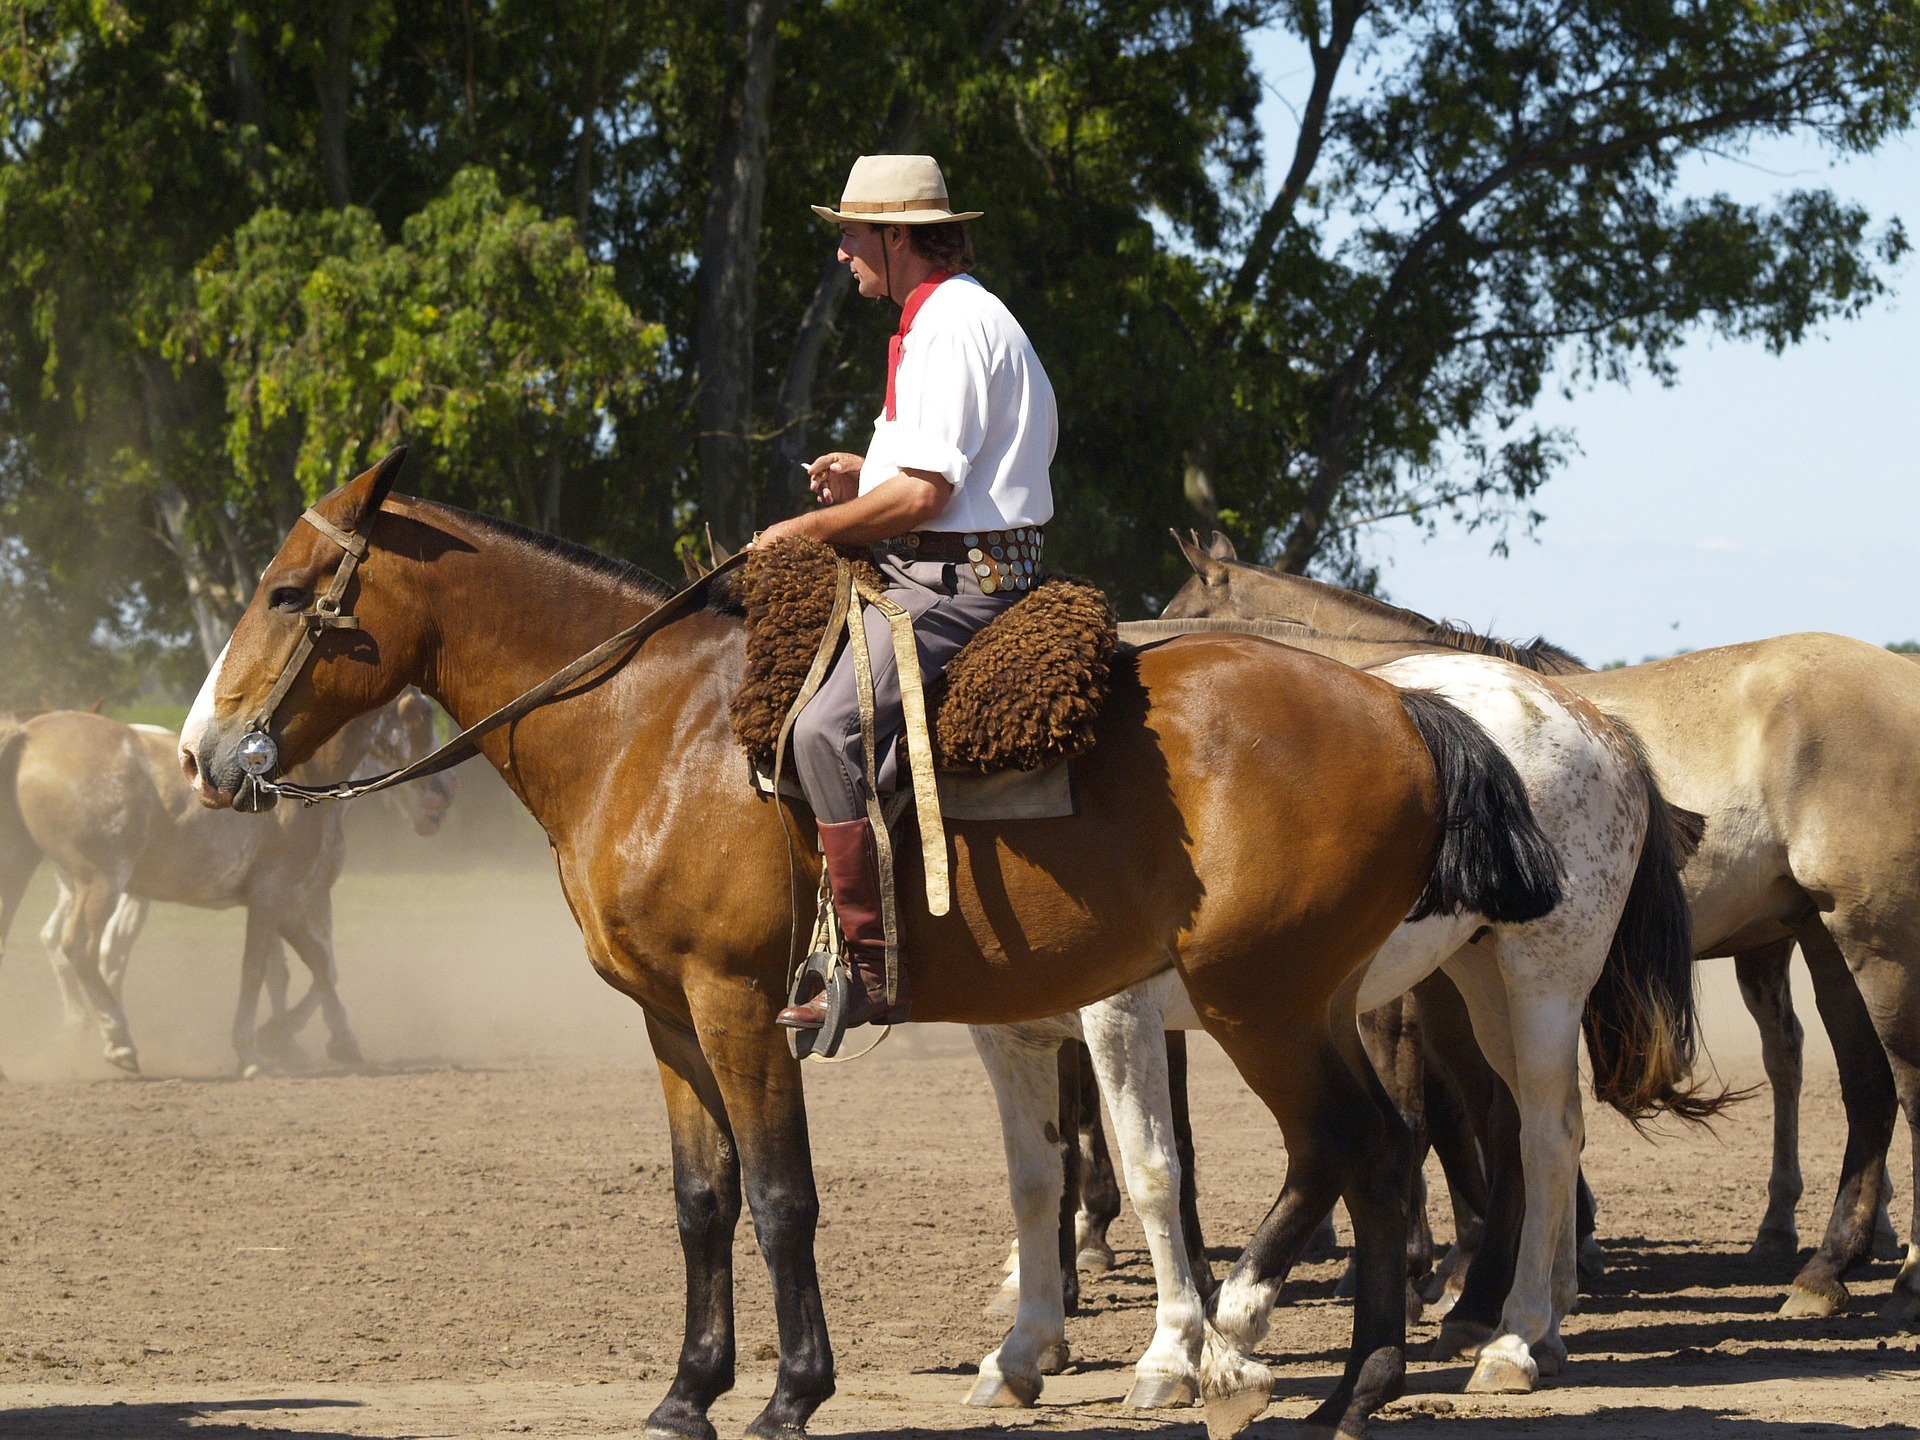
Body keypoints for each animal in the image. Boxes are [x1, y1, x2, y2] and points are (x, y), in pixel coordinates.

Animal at [0, 695, 451, 1075]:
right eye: (420, 717)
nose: (442, 797)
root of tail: (29, 733)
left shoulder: (285, 900)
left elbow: (317, 964)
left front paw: (332, 1042)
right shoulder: (274, 895)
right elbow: (258, 970)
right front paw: (252, 1051)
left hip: (23, 870)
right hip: (101, 882)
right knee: (81, 947)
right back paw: (118, 1039)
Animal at [172, 458, 1566, 1440]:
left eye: (289, 592)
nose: (200, 754)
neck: (652, 727)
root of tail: (1407, 707)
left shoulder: (740, 1006)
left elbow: (782, 1197)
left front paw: (793, 1392)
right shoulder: (667, 1018)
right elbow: (702, 1202)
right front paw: (686, 1394)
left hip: (1262, 1004)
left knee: (1371, 1146)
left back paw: (1344, 1375)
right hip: (1309, 1002)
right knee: (1380, 1150)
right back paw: (1357, 1380)